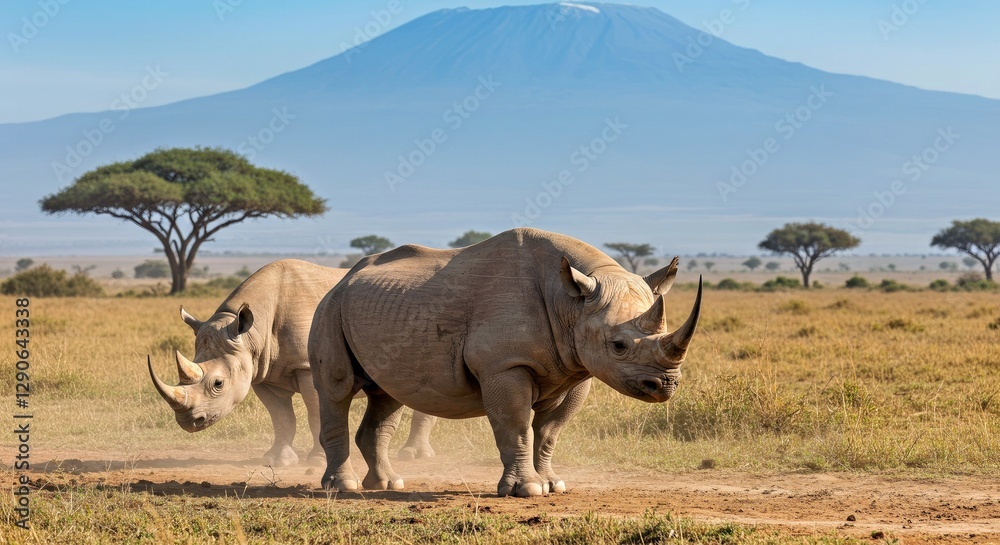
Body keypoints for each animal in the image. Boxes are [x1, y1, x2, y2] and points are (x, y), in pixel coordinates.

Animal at [148, 259, 438, 467]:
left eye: (218, 383)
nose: (188, 422)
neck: (251, 333)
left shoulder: (307, 366)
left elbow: (314, 413)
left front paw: (318, 460)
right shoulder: (260, 370)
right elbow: (281, 416)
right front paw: (277, 460)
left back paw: (412, 456)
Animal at [309, 228, 701, 496]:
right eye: (618, 345)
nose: (666, 385)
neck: (571, 302)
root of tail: (344, 277)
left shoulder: (578, 370)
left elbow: (549, 432)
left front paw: (553, 484)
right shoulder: (505, 365)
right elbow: (516, 425)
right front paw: (526, 490)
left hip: (377, 308)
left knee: (387, 394)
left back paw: (387, 484)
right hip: (329, 306)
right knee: (336, 389)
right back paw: (342, 488)